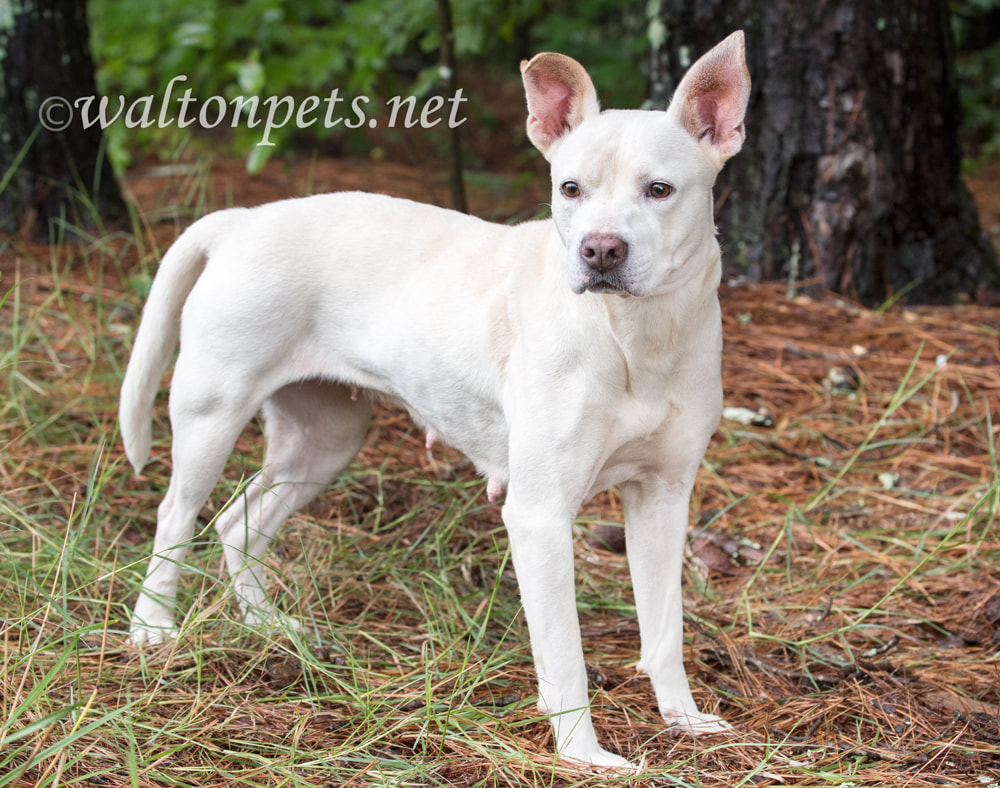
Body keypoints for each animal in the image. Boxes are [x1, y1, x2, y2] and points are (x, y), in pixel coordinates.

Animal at [121, 32, 752, 768]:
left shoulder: (662, 500)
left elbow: (665, 628)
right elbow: (564, 652)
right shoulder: (539, 517)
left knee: (238, 523)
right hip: (210, 420)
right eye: (570, 189)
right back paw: (152, 631)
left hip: (325, 442)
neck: (635, 337)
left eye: (660, 190)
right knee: (174, 516)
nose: (600, 250)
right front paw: (583, 754)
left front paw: (681, 718)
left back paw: (269, 627)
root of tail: (241, 221)